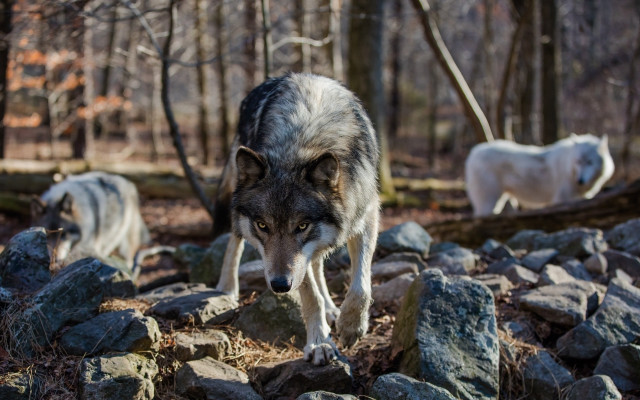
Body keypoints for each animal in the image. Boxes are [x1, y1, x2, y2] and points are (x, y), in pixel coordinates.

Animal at [212, 73, 380, 365]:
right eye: (263, 225)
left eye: (301, 226)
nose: (280, 286)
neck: (304, 144)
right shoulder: (294, 265)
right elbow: (310, 295)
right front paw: (319, 343)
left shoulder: (366, 215)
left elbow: (361, 286)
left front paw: (350, 327)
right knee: (234, 241)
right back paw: (227, 288)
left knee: (317, 264)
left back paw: (333, 309)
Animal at [465, 133, 614, 216]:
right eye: (578, 161)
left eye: (590, 162)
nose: (580, 180)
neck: (569, 168)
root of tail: (474, 152)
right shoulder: (561, 200)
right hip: (489, 202)